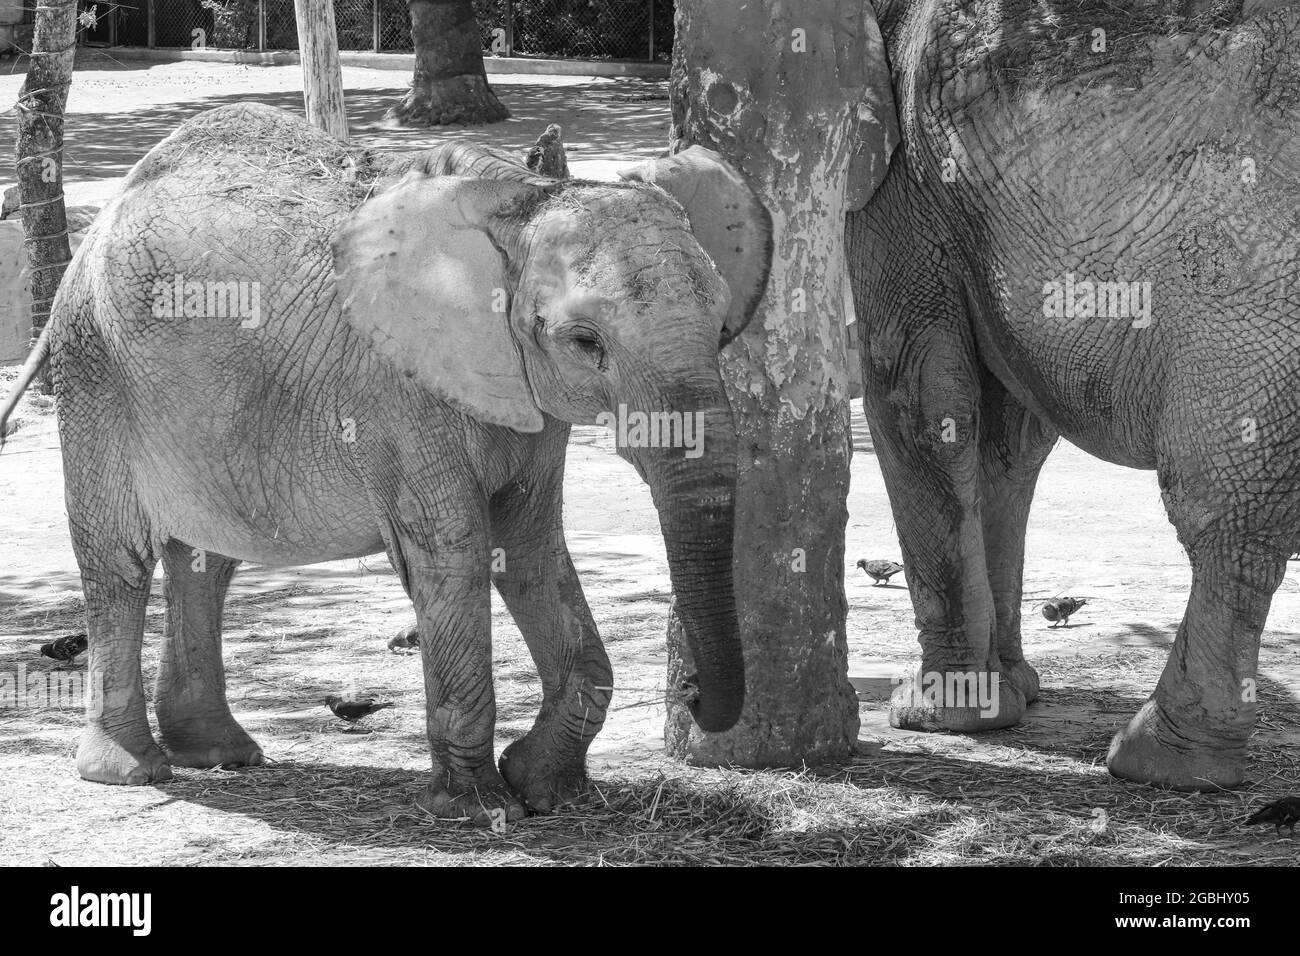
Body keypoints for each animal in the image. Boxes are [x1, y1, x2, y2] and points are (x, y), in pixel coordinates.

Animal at [0, 102, 772, 820]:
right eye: (586, 342)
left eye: (721, 320)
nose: (692, 694)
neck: (521, 205)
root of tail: (104, 216)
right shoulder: (400, 393)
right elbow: (455, 552)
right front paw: (478, 807)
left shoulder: (524, 398)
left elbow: (529, 549)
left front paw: (545, 787)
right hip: (94, 366)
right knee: (119, 560)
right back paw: (130, 771)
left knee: (206, 560)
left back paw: (221, 754)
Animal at [847, 0, 1300, 789]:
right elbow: (1006, 439)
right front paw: (1014, 695)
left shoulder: (903, 182)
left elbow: (915, 397)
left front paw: (935, 716)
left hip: (1250, 278)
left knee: (1223, 508)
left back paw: (1158, 763)